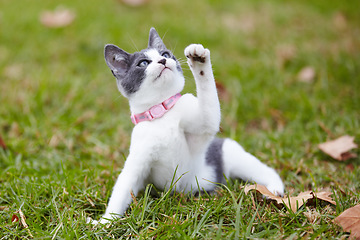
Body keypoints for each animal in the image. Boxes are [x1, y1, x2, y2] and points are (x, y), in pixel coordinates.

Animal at [89, 27, 284, 225]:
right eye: (143, 63)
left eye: (165, 54)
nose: (163, 61)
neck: (163, 113)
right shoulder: (138, 160)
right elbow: (123, 187)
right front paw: (105, 222)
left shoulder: (202, 124)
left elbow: (208, 109)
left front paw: (199, 60)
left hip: (231, 153)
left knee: (263, 169)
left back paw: (274, 190)